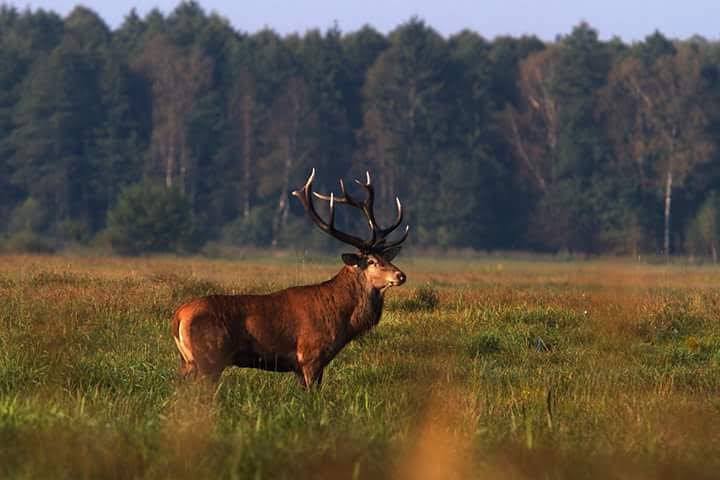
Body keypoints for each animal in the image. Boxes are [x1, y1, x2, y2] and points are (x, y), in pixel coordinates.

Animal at [170, 168, 410, 386]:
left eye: (385, 257)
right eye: (371, 261)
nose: (401, 275)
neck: (342, 320)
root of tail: (178, 317)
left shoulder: (301, 367)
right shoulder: (310, 357)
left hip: (188, 362)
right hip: (209, 359)